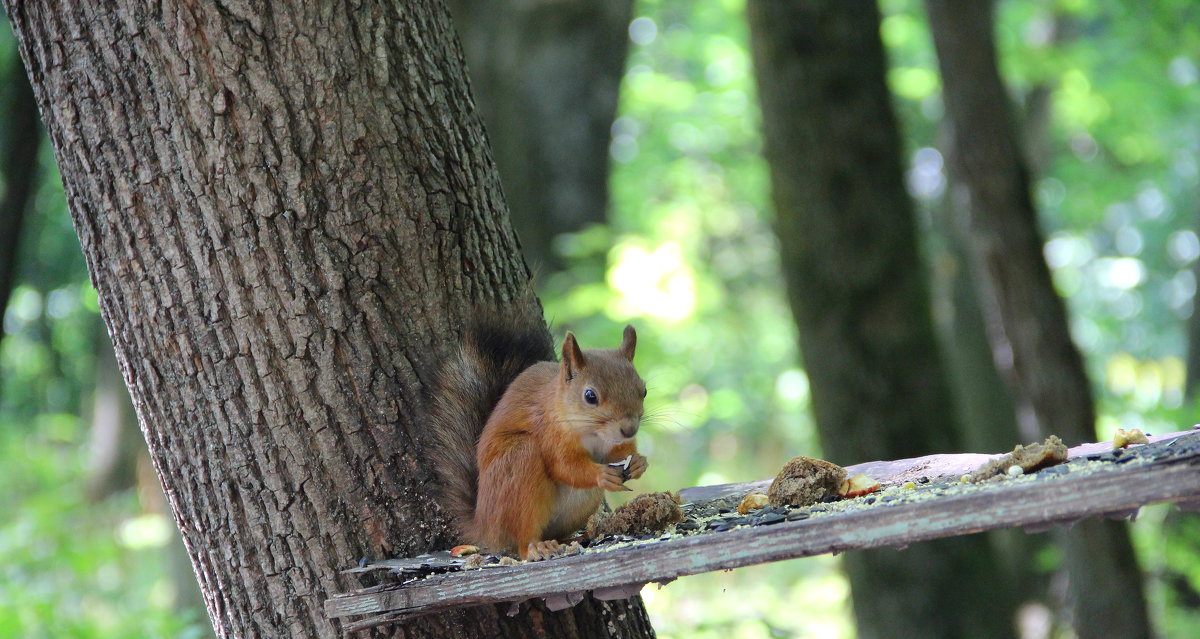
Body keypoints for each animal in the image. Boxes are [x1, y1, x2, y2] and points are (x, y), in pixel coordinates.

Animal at [432, 319, 648, 559]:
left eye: (644, 390)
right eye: (590, 396)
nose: (629, 429)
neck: (594, 434)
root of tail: (483, 526)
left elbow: (620, 453)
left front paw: (638, 462)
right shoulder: (549, 433)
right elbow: (564, 466)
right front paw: (601, 474)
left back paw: (573, 539)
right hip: (519, 464)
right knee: (522, 540)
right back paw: (536, 547)